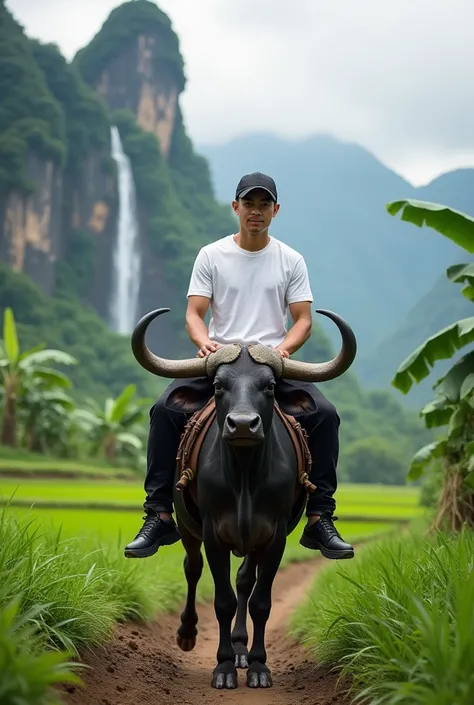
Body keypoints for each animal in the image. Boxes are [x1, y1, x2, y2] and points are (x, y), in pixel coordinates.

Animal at [130, 308, 356, 688]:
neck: (245, 477)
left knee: (244, 582)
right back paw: (189, 632)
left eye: (270, 386)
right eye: (219, 386)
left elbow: (259, 601)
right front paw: (222, 668)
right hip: (187, 529)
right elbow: (222, 600)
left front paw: (258, 665)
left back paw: (240, 649)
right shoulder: (213, 534)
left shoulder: (274, 536)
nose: (243, 425)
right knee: (192, 569)